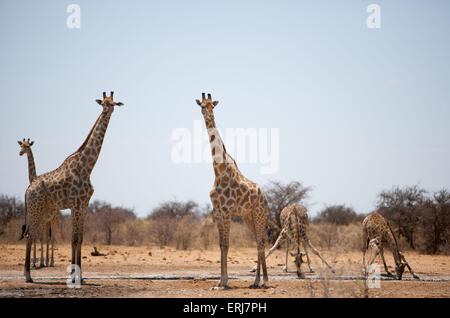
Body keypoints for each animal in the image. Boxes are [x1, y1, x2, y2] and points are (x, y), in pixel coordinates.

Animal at [17, 137, 55, 268]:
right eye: (21, 145)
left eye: (28, 146)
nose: (20, 153)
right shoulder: (32, 217)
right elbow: (34, 237)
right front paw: (34, 262)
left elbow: (40, 237)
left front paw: (41, 262)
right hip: (46, 221)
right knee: (46, 236)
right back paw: (47, 261)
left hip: (54, 219)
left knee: (51, 237)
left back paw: (51, 262)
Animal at [22, 90, 122, 282]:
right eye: (103, 103)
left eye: (113, 103)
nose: (107, 111)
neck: (87, 167)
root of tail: (28, 189)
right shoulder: (75, 205)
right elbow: (74, 239)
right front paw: (74, 276)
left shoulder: (84, 205)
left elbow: (80, 238)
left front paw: (80, 276)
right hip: (36, 209)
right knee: (31, 235)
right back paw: (28, 275)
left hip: (43, 211)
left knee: (34, 234)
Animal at [195, 93, 268, 290]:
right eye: (201, 105)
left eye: (212, 105)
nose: (207, 114)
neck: (218, 170)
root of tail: (265, 198)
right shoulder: (218, 212)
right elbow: (221, 245)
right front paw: (220, 281)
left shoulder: (226, 212)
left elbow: (227, 245)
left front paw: (224, 282)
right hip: (248, 217)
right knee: (257, 241)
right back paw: (256, 281)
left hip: (259, 214)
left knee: (261, 241)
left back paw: (264, 281)